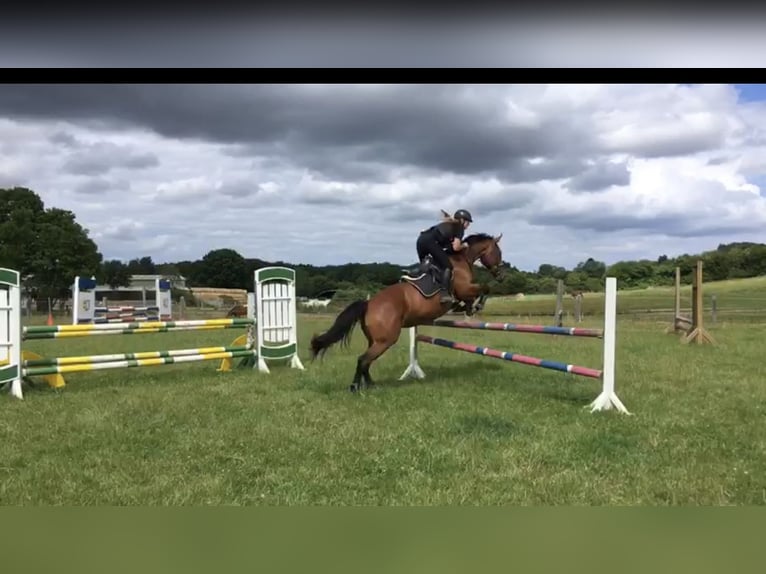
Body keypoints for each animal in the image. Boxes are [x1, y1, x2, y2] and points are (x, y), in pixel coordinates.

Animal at [309, 233, 505, 392]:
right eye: (498, 252)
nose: (502, 276)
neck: (460, 261)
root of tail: (369, 303)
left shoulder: (465, 291)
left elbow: (474, 296)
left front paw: (468, 307)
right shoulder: (464, 289)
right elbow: (484, 288)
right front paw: (475, 306)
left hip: (375, 340)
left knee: (366, 361)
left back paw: (370, 385)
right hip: (386, 340)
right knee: (363, 360)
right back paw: (356, 387)